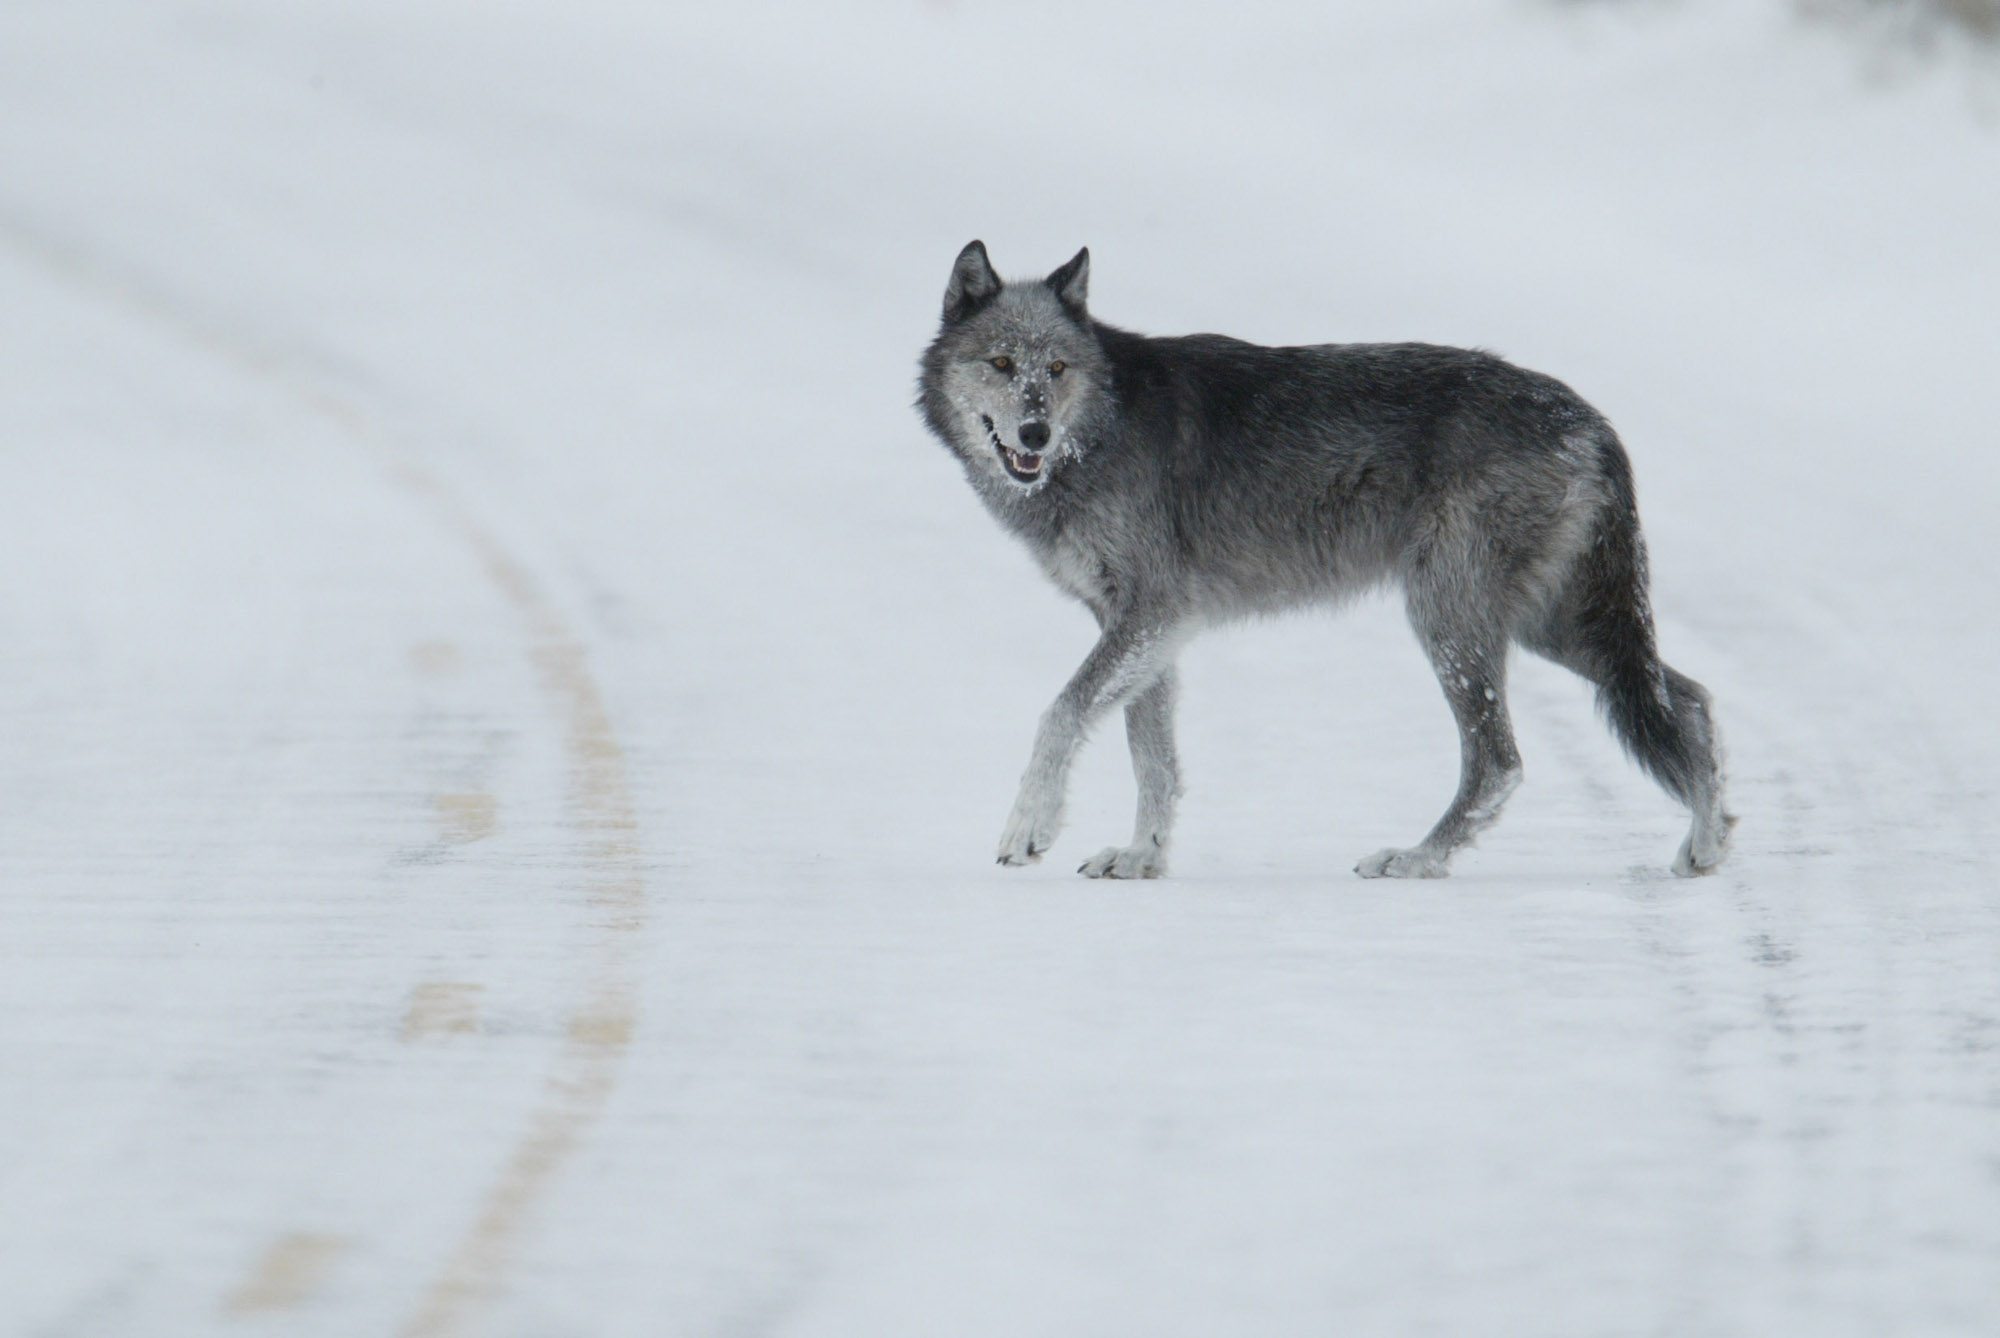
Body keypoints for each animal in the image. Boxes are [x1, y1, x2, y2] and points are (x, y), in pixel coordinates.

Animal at [916, 240, 1731, 880]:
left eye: (1055, 368)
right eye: (1001, 363)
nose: (1035, 433)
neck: (1102, 429)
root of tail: (1590, 419)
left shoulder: (1151, 614)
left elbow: (1060, 714)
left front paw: (1028, 829)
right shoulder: (1146, 627)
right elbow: (1154, 757)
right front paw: (1142, 857)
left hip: (1453, 620)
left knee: (1500, 761)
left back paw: (1416, 859)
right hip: (1551, 627)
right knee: (1689, 697)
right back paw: (1708, 845)